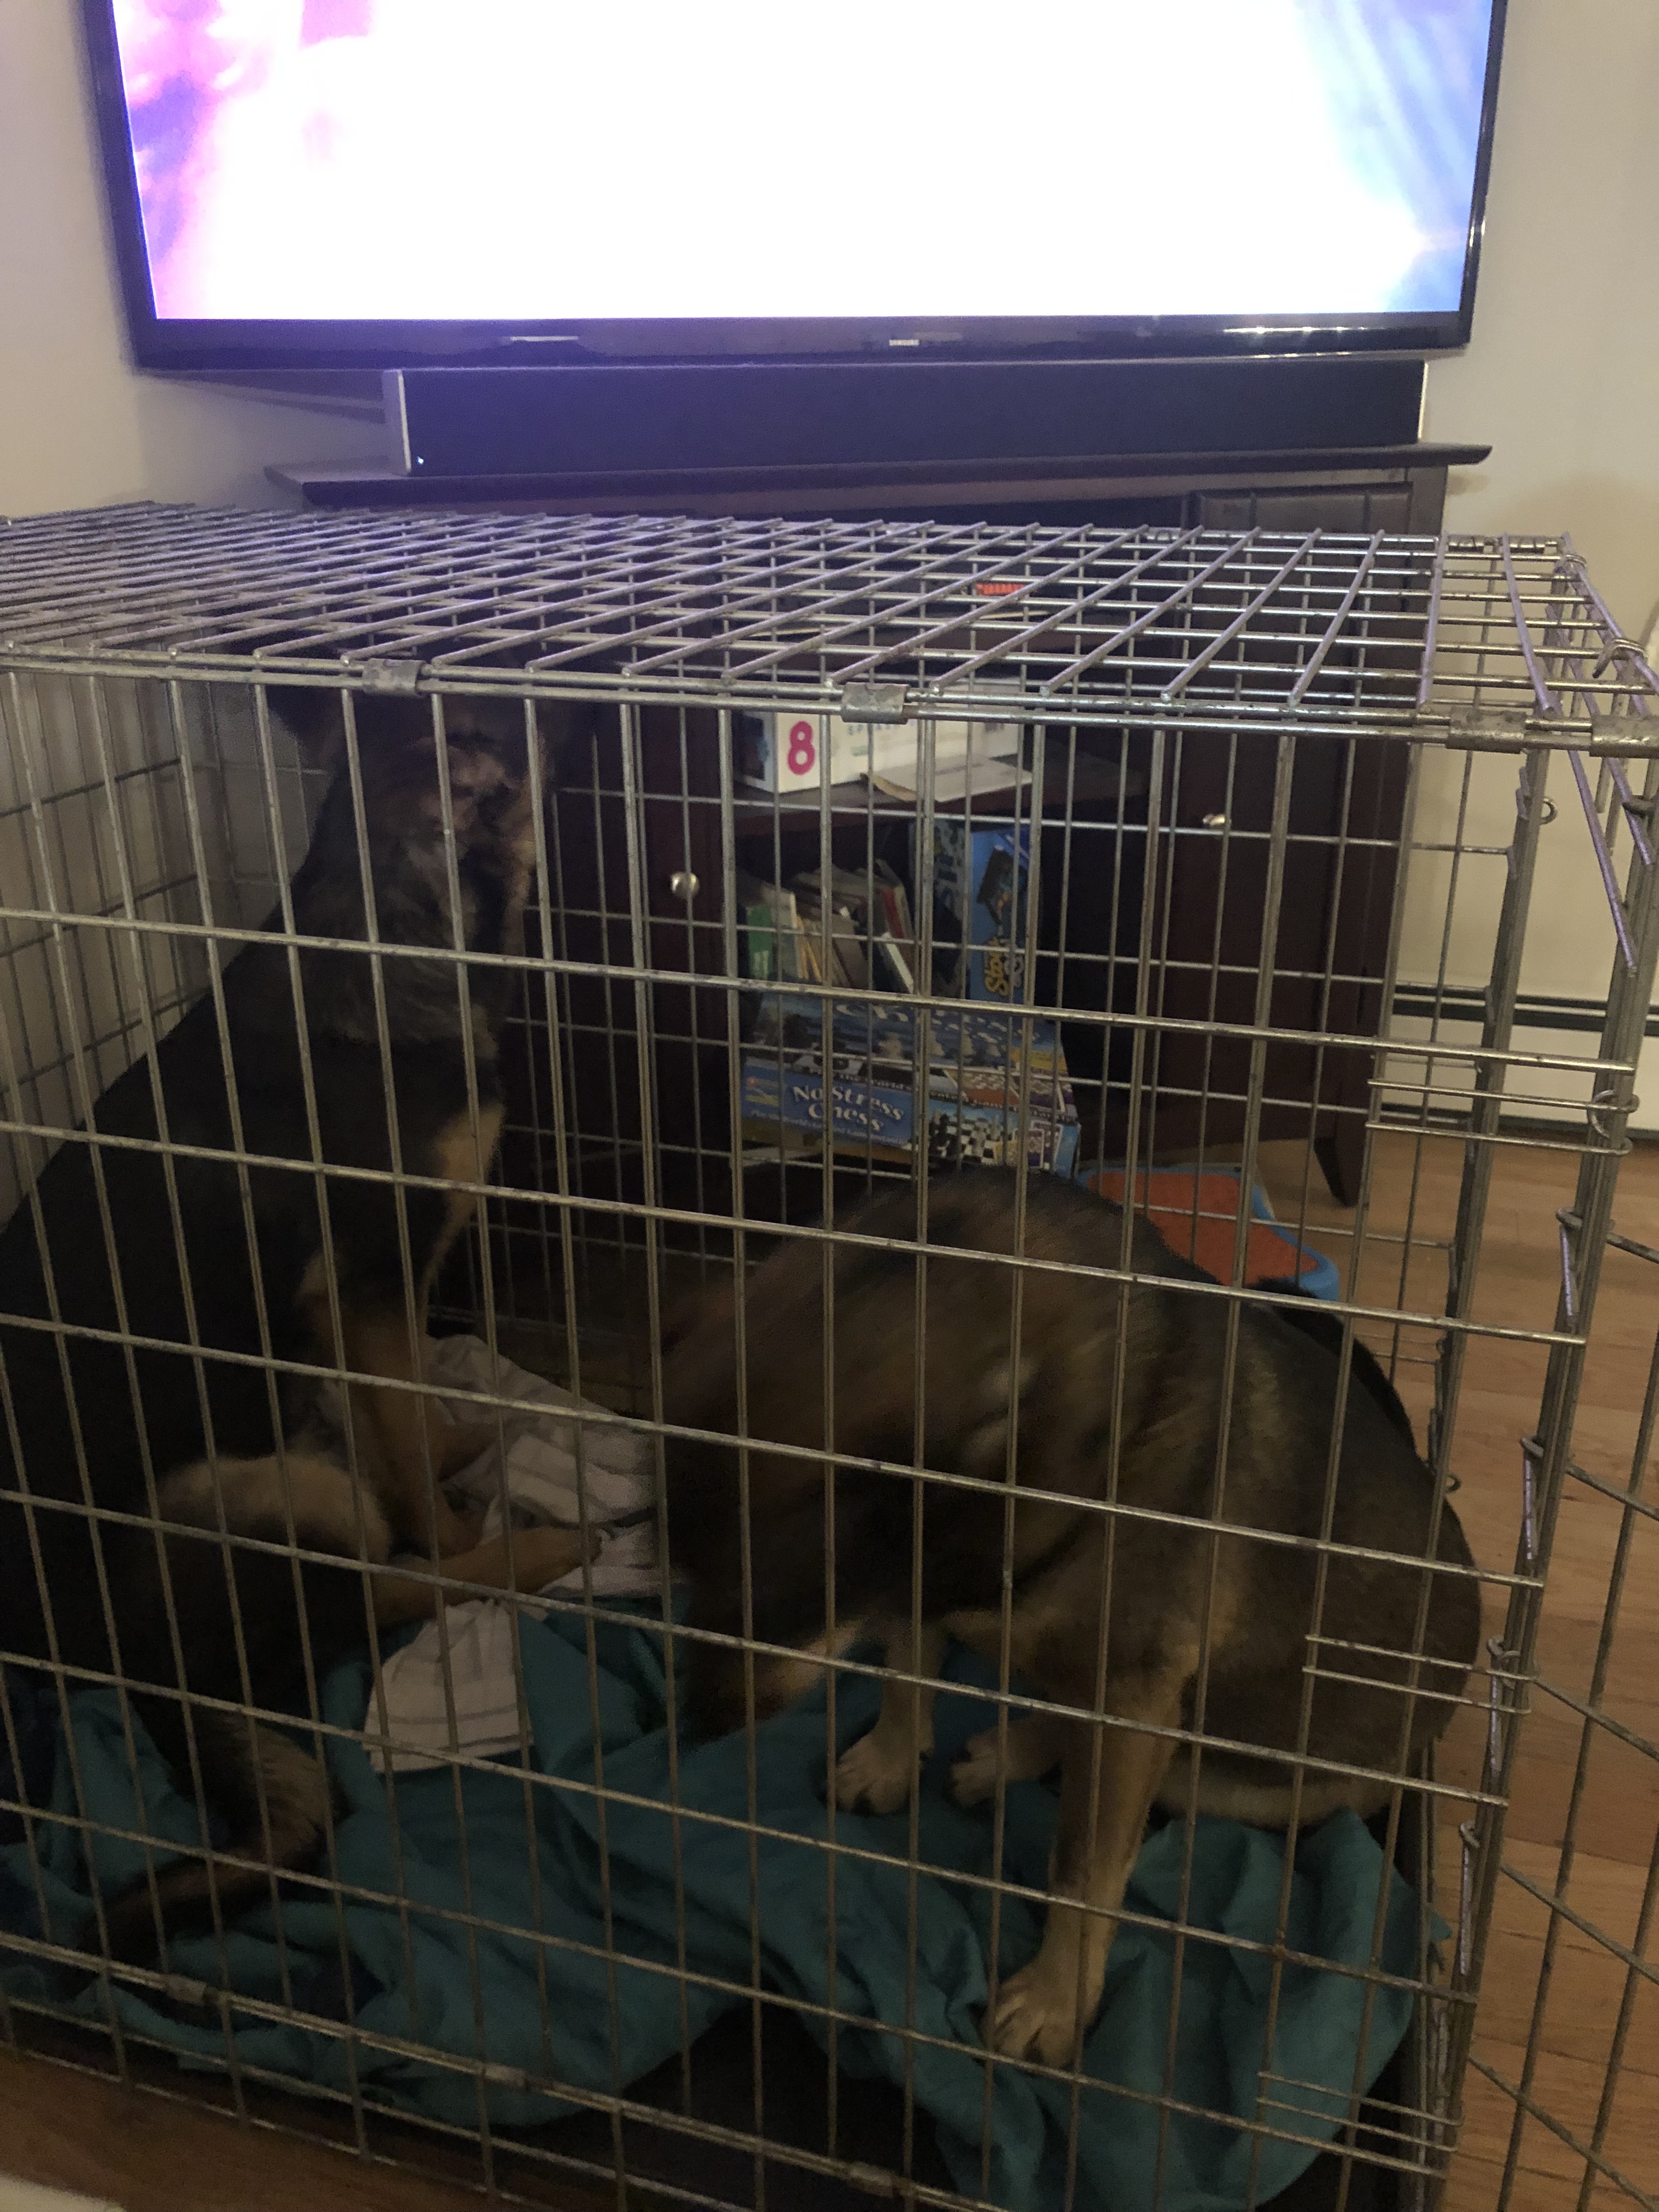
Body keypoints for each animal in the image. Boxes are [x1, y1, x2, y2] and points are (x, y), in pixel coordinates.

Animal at [0, 687, 586, 1965]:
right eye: (481, 727)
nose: (559, 703)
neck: (390, 923)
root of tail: (110, 1668)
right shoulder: (366, 1283)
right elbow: (405, 1466)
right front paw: (455, 1519)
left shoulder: (365, 1303)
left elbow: (400, 1406)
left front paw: (458, 1436)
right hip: (254, 1494)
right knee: (377, 1595)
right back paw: (532, 1554)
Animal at [662, 1170, 1481, 2068]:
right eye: (682, 1560)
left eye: (792, 1595)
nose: (703, 1720)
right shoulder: (929, 1575)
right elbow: (909, 1670)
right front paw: (889, 1757)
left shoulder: (1126, 1690)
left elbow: (1082, 1873)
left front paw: (1056, 2001)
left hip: (1237, 1775)